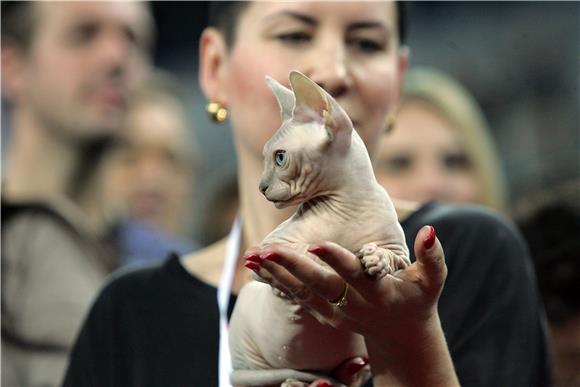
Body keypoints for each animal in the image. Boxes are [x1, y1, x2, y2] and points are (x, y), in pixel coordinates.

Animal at [229, 71, 410, 386]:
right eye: (265, 158)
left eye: (279, 157)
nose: (261, 187)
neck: (348, 207)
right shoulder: (263, 252)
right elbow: (296, 250)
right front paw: (320, 258)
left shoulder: (401, 253)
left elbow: (391, 257)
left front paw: (374, 259)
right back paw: (291, 382)